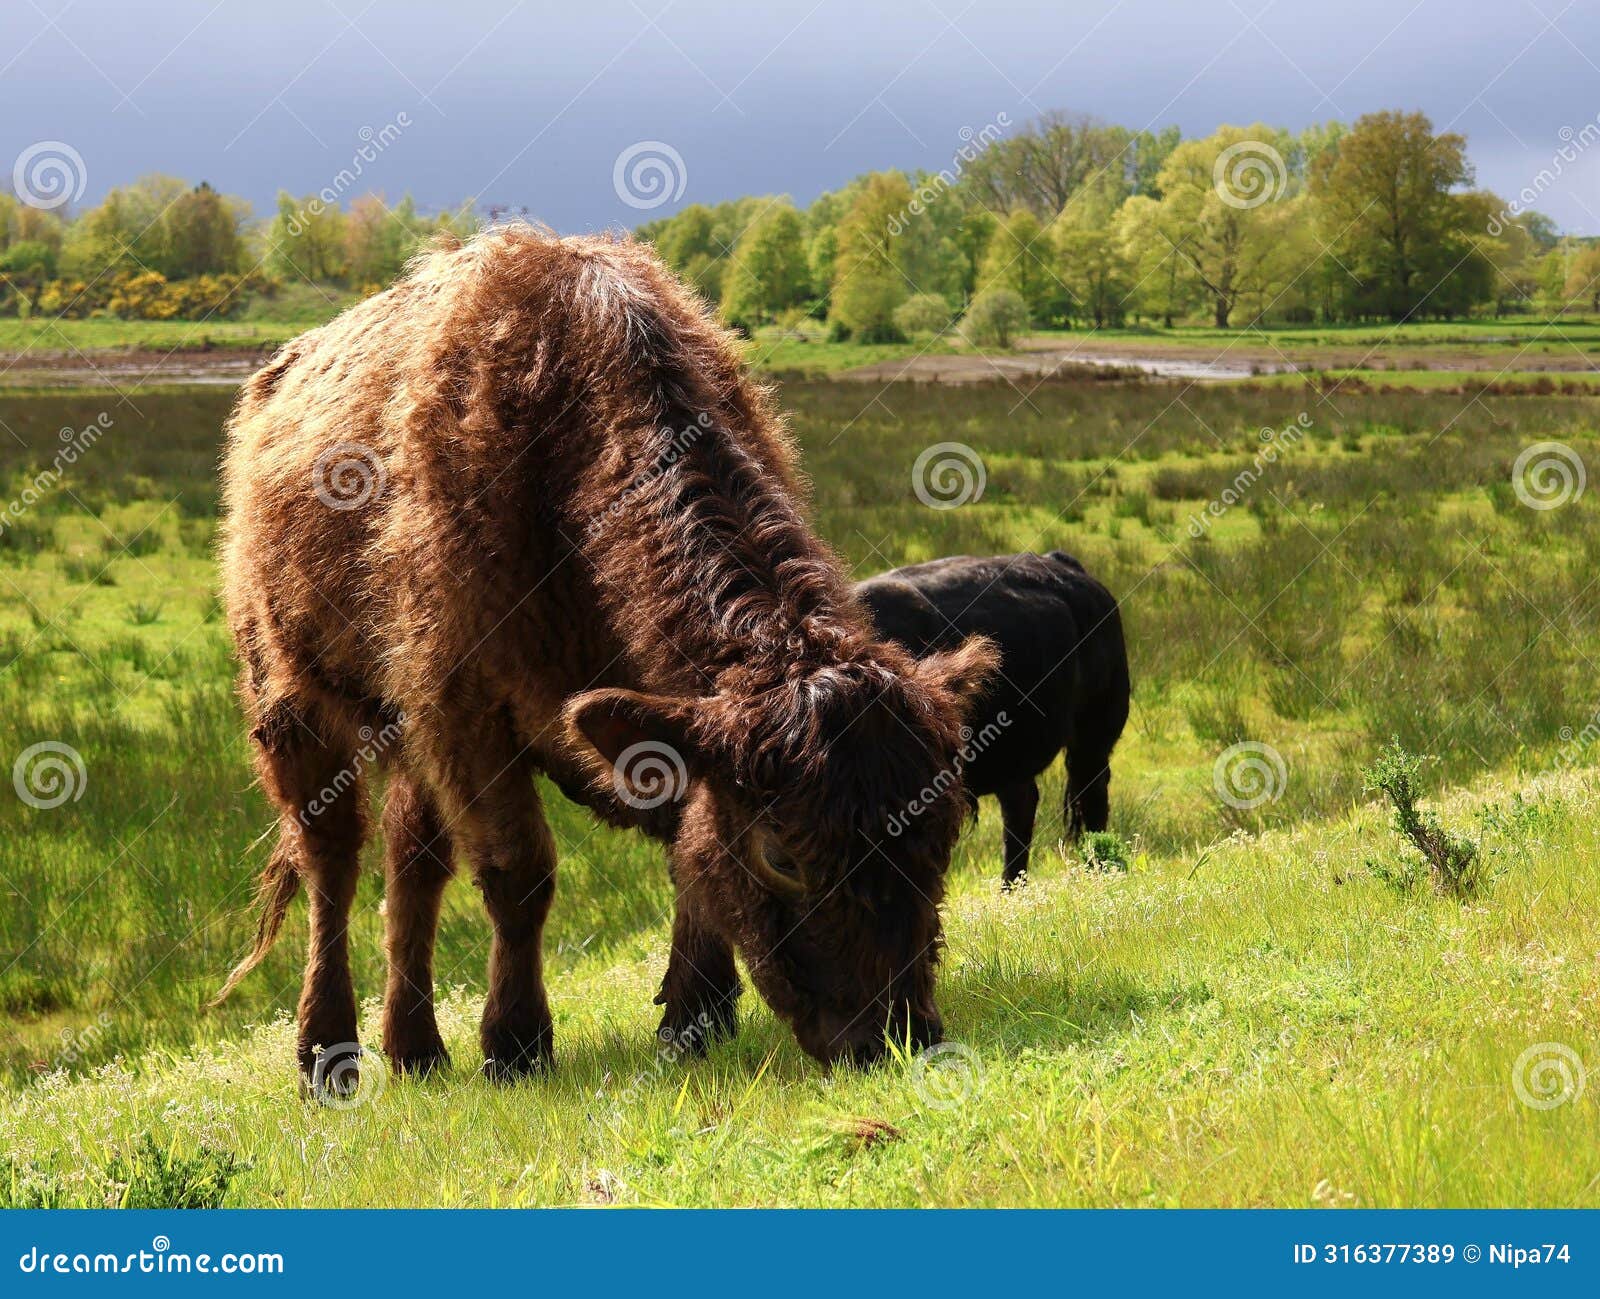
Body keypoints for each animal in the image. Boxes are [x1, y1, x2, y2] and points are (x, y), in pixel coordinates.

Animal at [212, 225, 985, 1087]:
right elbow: (520, 872)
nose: (897, 1034)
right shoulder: (466, 708)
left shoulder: (647, 725)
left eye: (944, 829)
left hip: (406, 737)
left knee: (413, 858)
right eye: (783, 853)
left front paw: (692, 1019)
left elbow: (686, 851)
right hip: (289, 701)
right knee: (333, 861)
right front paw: (516, 1043)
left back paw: (416, 1048)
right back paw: (327, 1052)